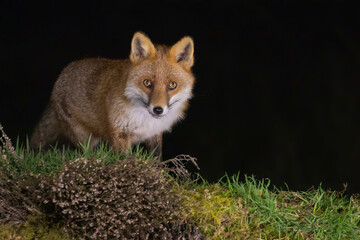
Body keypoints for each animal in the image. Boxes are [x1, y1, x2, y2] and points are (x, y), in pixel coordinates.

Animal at [29, 31, 195, 155]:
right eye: (147, 83)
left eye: (172, 85)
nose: (158, 109)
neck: (144, 120)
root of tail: (61, 75)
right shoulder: (119, 134)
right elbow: (126, 161)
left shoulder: (154, 134)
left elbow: (156, 160)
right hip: (85, 138)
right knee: (88, 153)